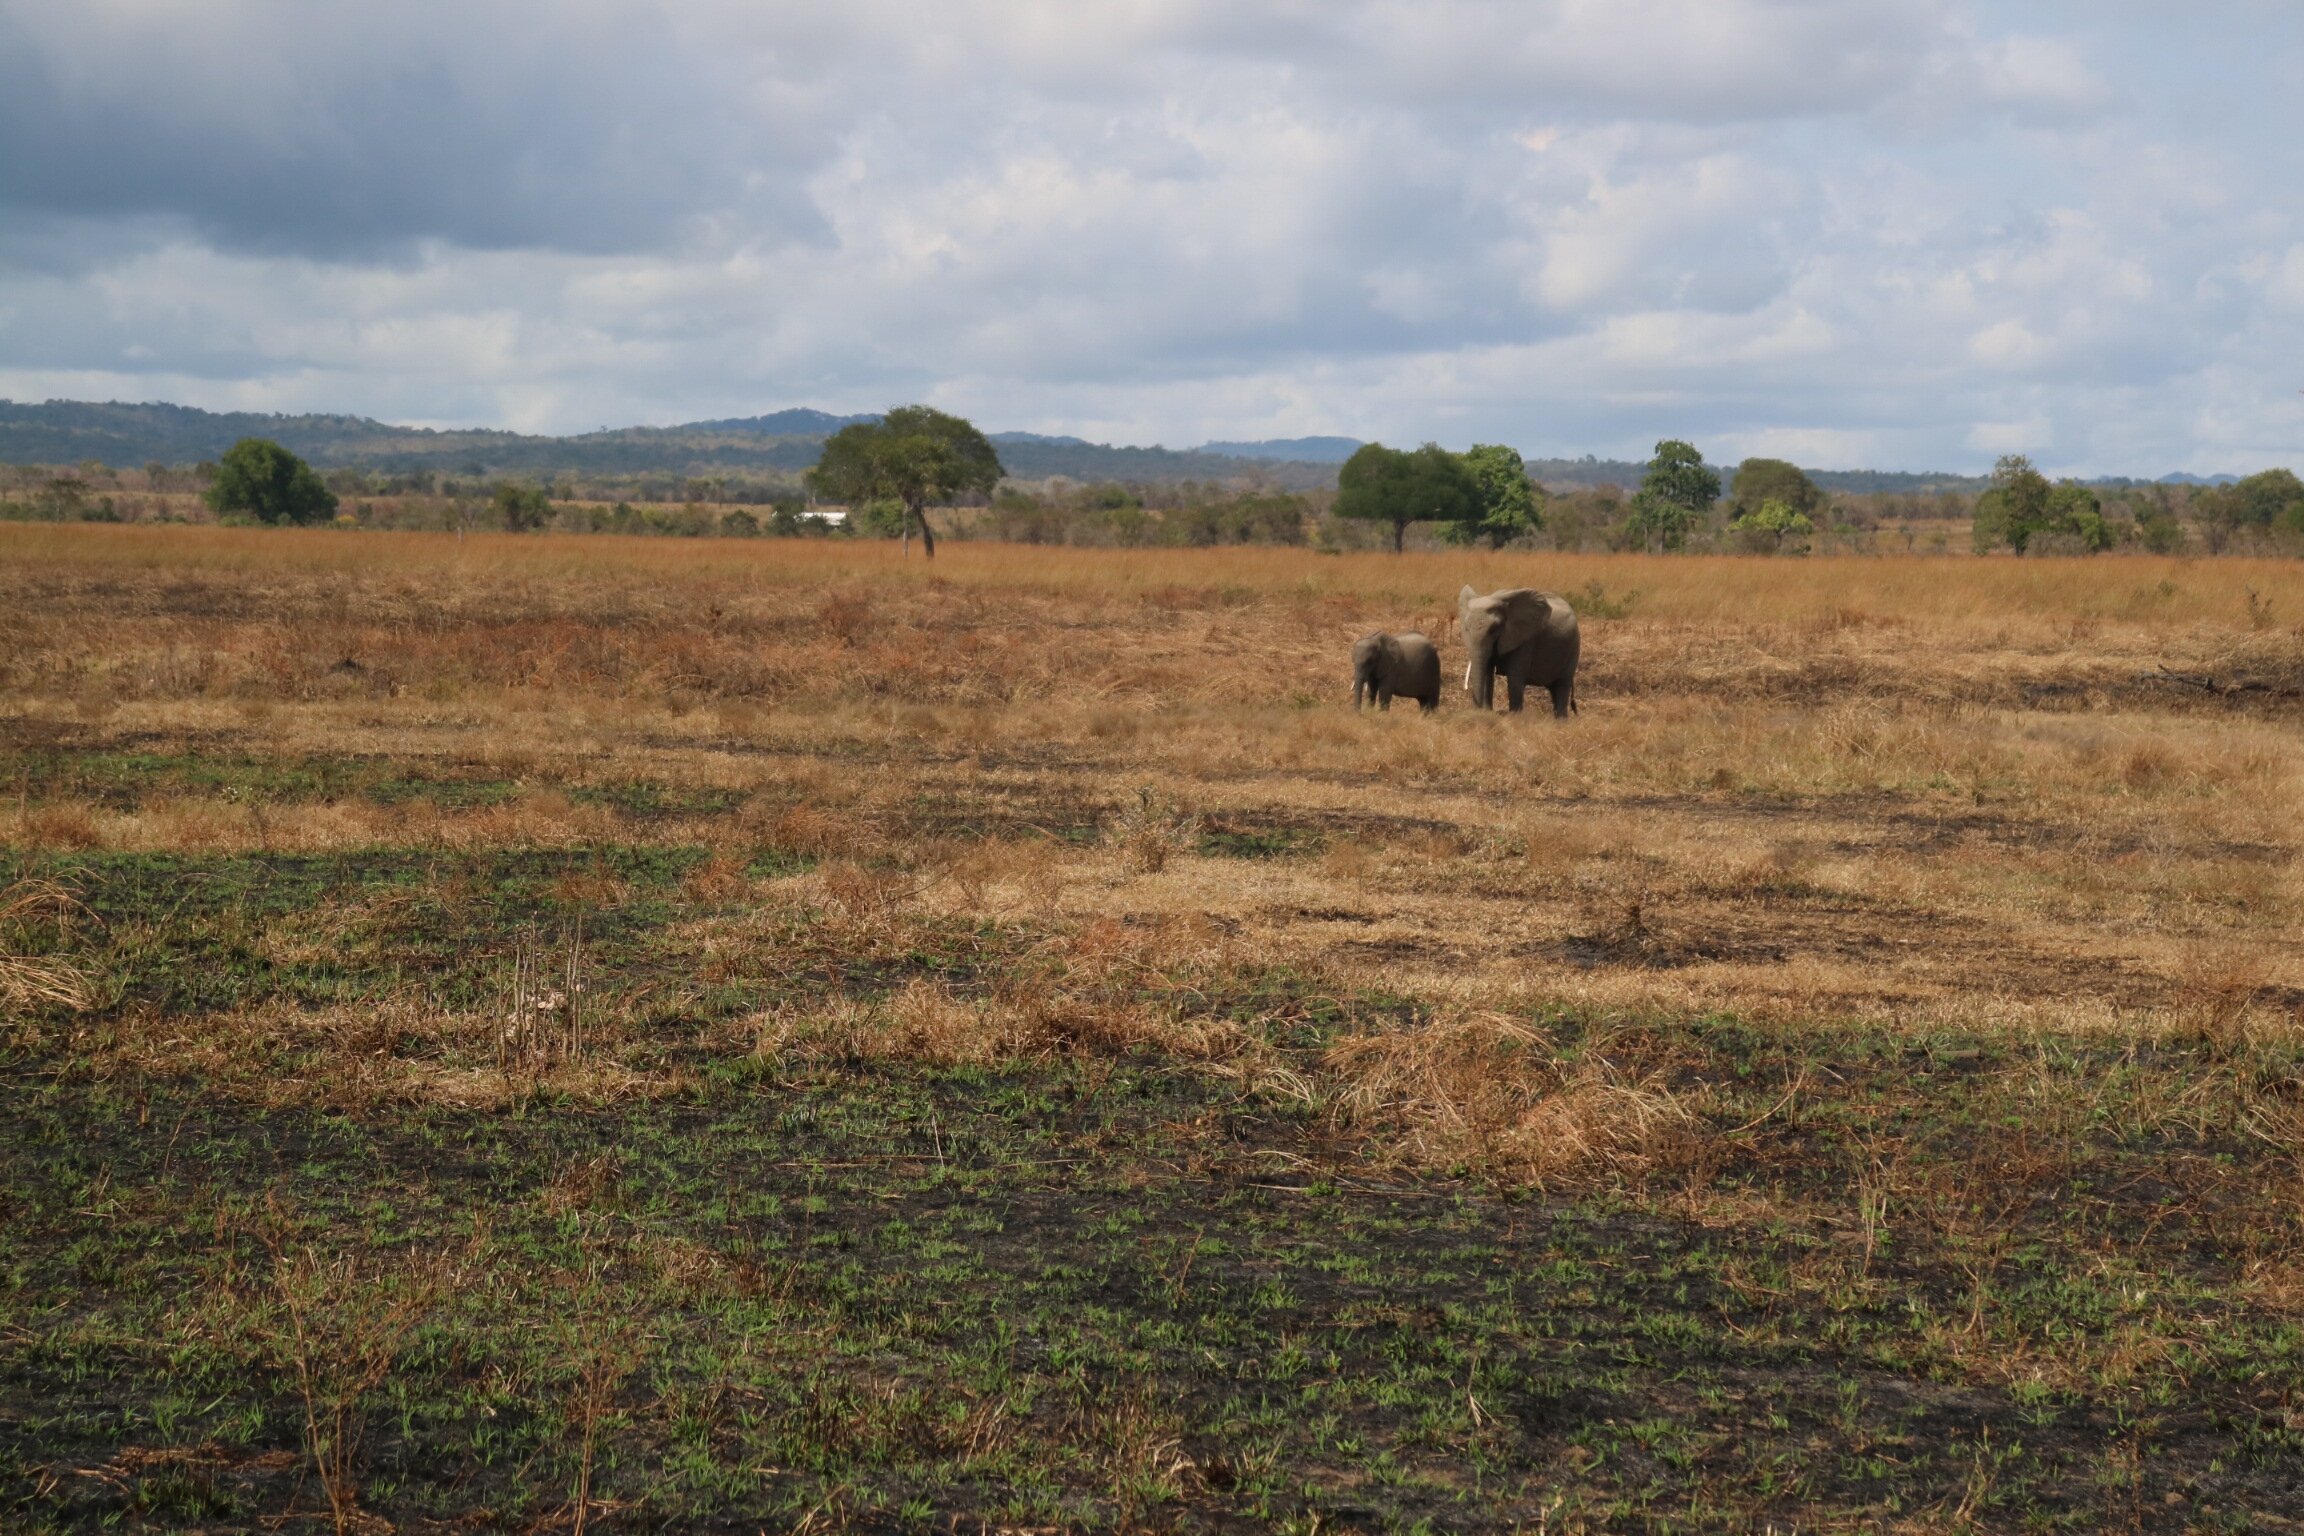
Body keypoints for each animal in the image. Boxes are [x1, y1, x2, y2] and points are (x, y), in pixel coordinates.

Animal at [1459, 586, 1579, 716]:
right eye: (1466, 628)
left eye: (1494, 628)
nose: (1476, 709)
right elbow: (1487, 671)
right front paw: (1487, 712)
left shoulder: (1525, 640)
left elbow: (1515, 677)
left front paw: (1514, 717)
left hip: (1574, 648)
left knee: (1563, 685)